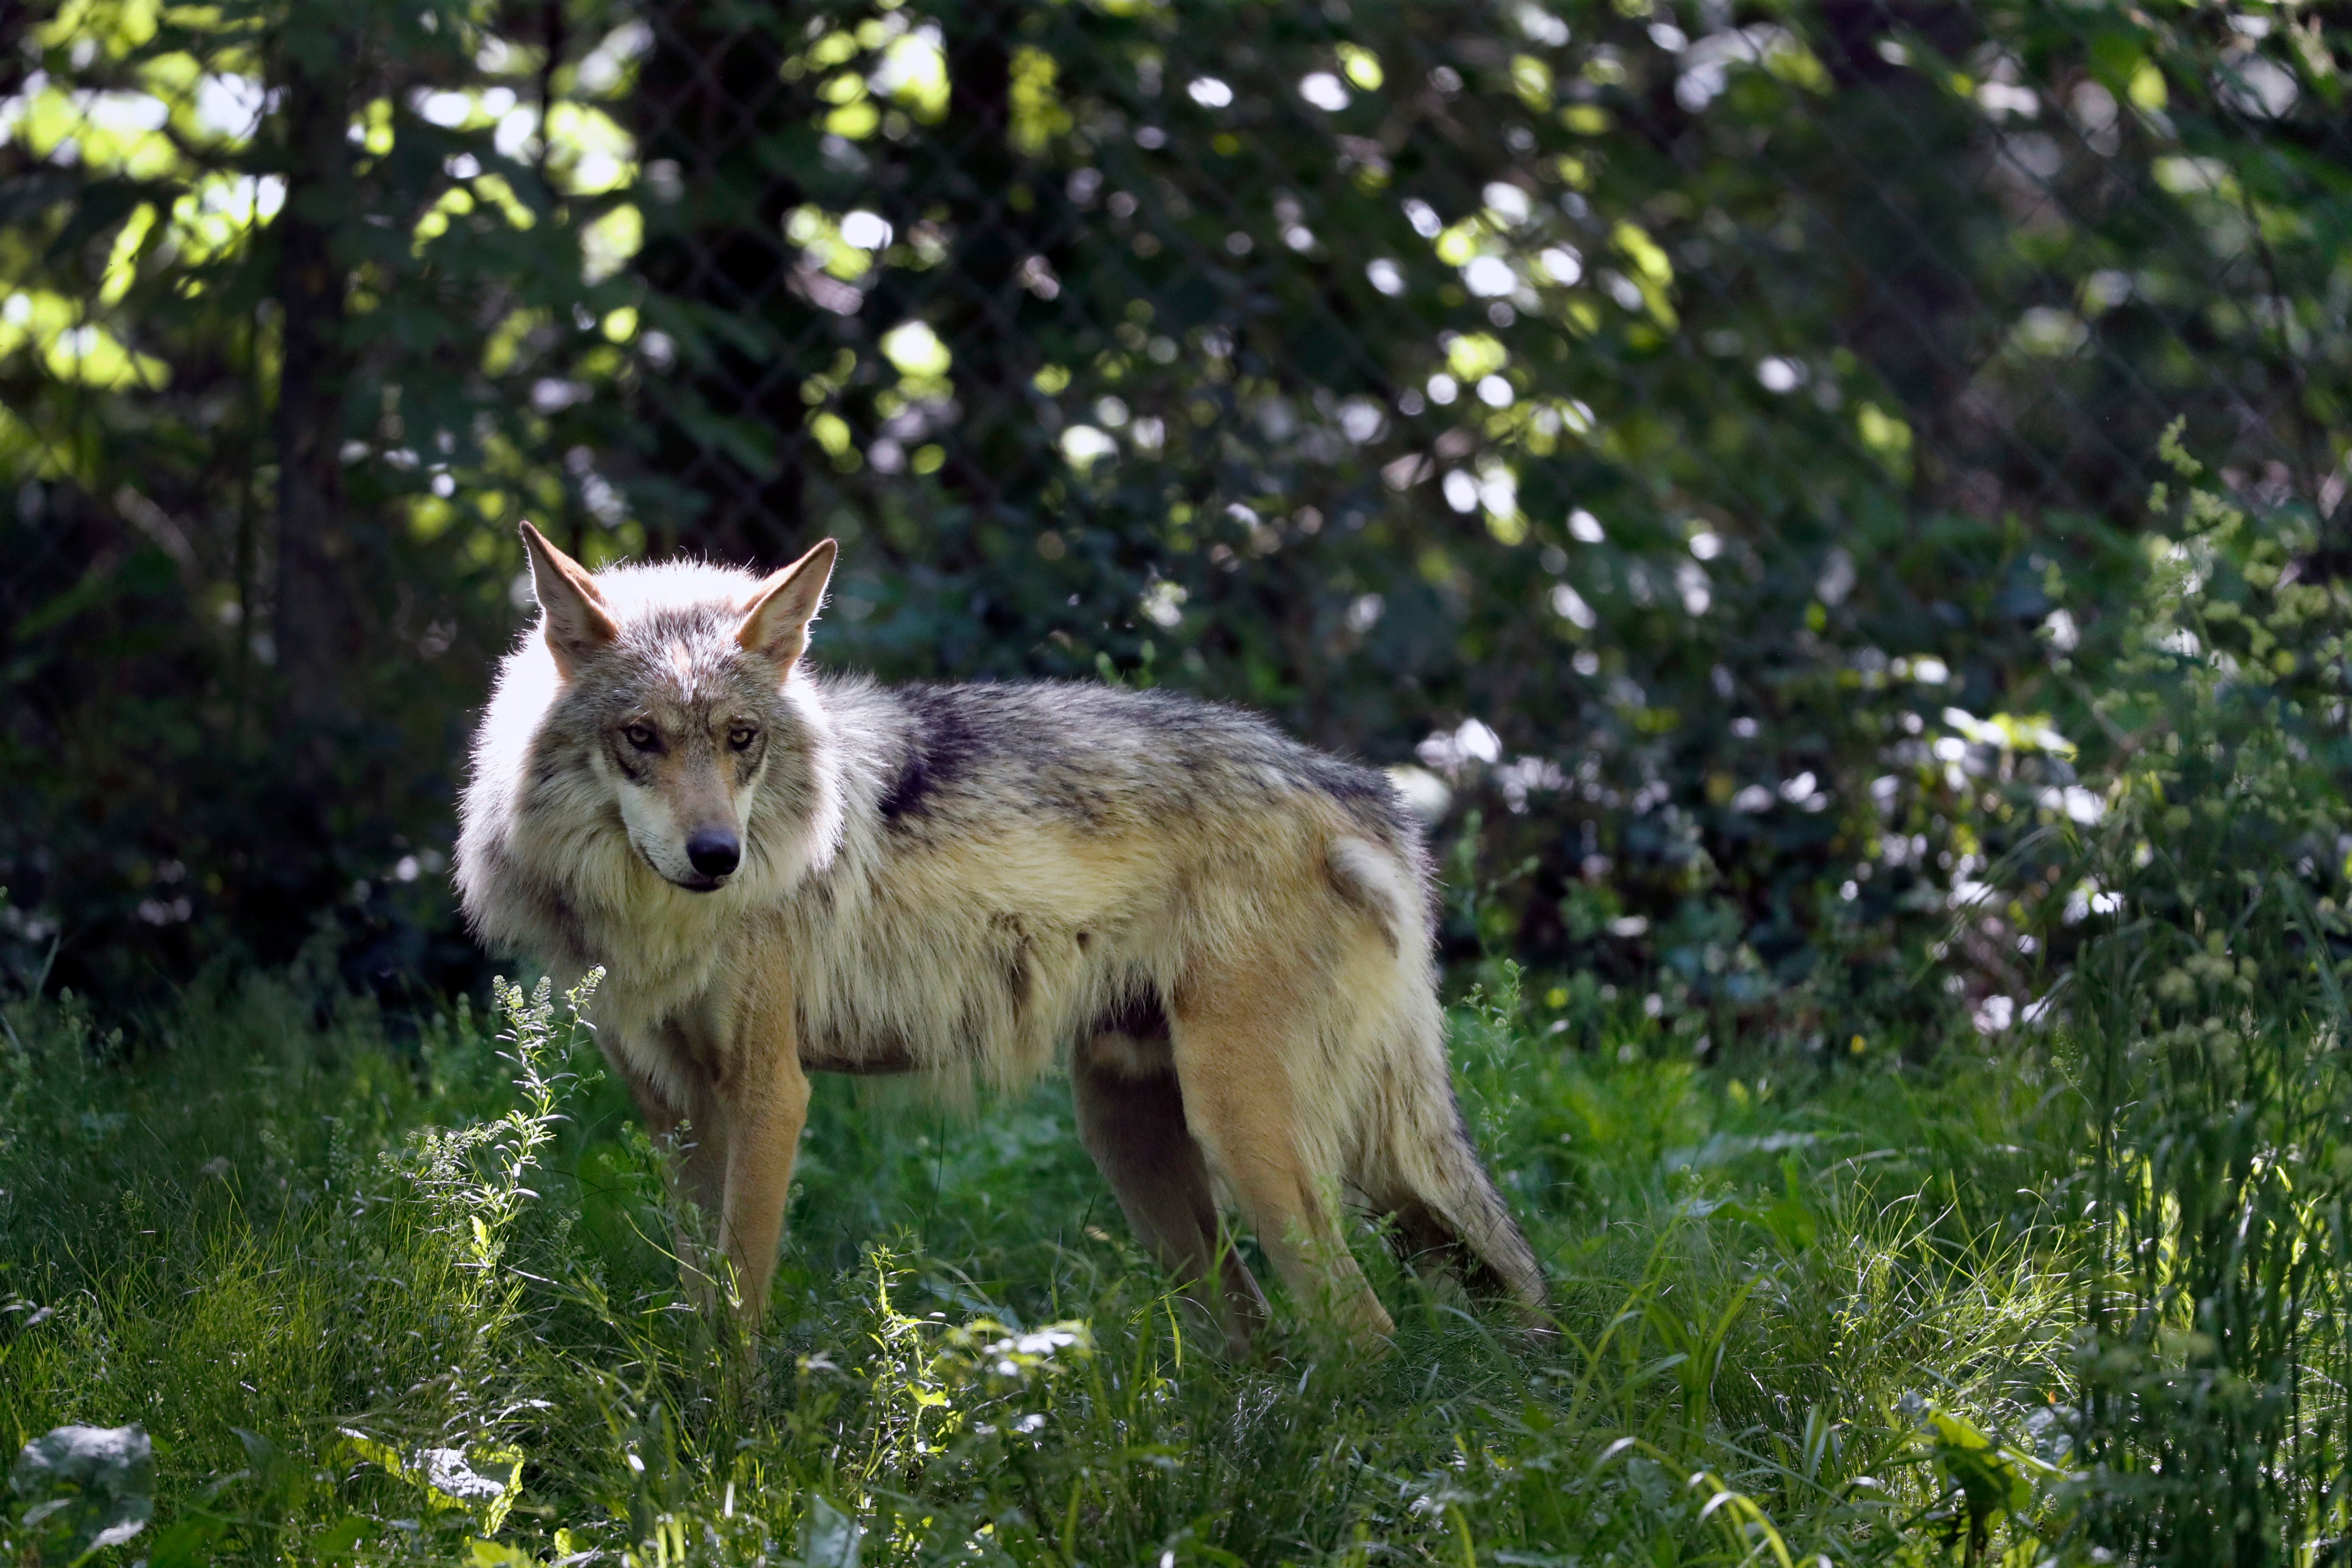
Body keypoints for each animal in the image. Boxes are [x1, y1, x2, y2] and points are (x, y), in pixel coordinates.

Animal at [456, 524, 1552, 1354]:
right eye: (641, 738)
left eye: (740, 740)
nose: (717, 855)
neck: (660, 924)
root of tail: (1360, 792)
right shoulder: (676, 1113)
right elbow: (700, 1312)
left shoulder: (770, 1095)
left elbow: (741, 1315)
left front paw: (736, 1457)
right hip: (1139, 1146)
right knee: (1262, 1335)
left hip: (1249, 1136)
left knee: (1363, 1333)